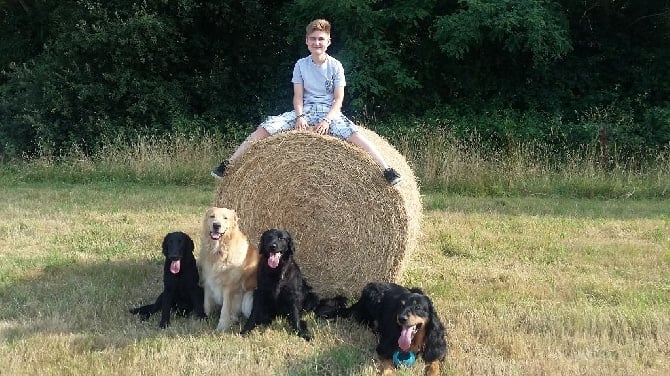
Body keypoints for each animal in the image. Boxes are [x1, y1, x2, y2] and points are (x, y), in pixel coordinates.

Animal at [318, 284, 448, 374]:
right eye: (401, 305)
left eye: (418, 307)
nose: (401, 318)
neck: (414, 340)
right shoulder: (384, 346)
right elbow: (388, 362)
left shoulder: (435, 345)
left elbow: (435, 362)